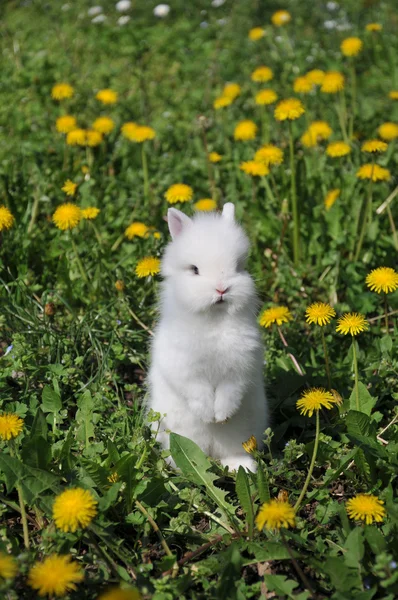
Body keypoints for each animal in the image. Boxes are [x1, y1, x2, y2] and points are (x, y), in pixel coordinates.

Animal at [148, 204, 268, 472]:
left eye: (238, 266)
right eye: (195, 269)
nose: (222, 289)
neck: (215, 321)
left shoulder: (240, 368)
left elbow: (230, 392)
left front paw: (221, 416)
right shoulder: (184, 368)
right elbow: (196, 391)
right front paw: (207, 415)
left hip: (242, 432)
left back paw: (242, 467)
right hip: (182, 433)